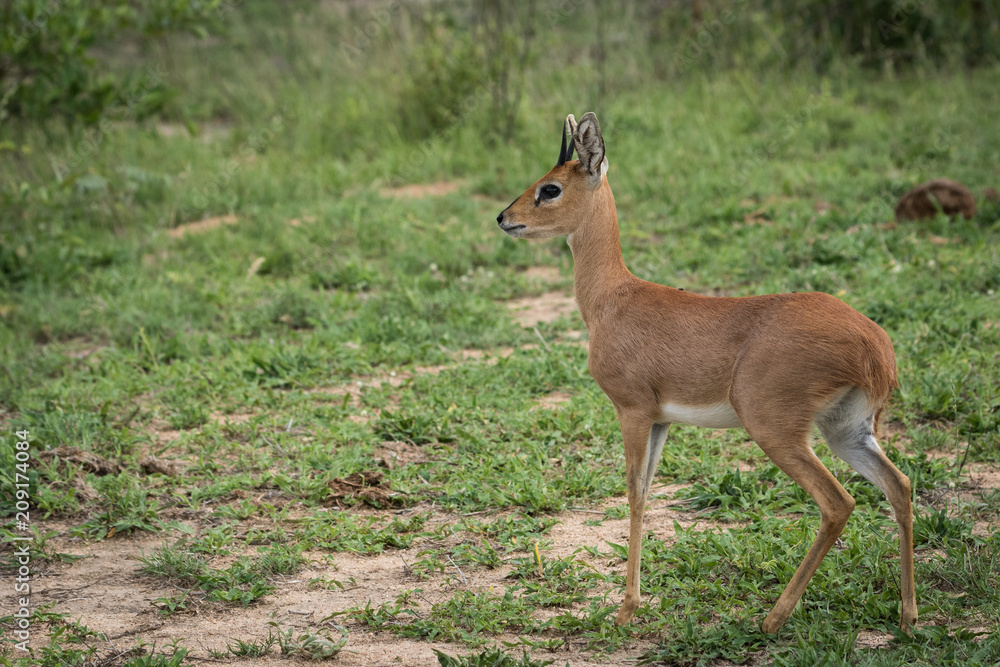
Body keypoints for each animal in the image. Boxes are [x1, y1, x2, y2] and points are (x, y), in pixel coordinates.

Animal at [496, 112, 916, 636]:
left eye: (550, 188)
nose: (504, 218)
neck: (612, 298)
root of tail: (875, 347)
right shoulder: (662, 419)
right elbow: (646, 490)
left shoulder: (632, 410)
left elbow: (634, 494)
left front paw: (626, 610)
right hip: (846, 430)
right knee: (899, 486)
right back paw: (908, 616)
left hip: (775, 430)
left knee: (838, 502)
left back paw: (772, 619)